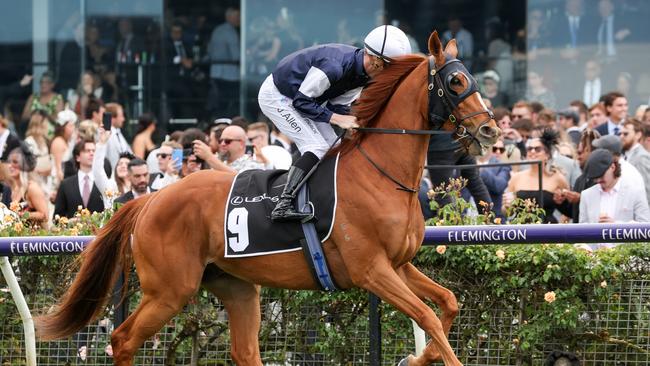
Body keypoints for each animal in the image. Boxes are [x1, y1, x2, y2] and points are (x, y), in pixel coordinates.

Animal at [38, 32, 498, 366]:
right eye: (456, 81)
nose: (490, 130)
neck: (381, 172)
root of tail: (149, 201)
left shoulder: (398, 265)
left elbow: (448, 304)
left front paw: (415, 358)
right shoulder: (371, 269)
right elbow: (428, 317)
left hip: (236, 287)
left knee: (244, 351)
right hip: (169, 289)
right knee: (123, 338)